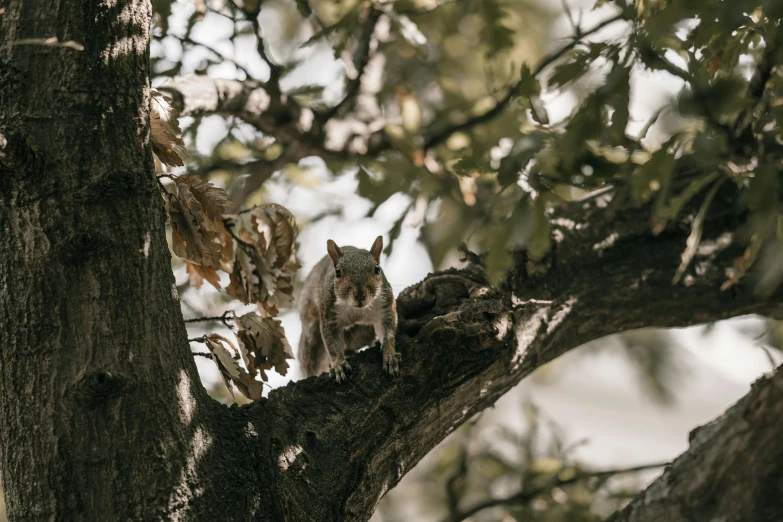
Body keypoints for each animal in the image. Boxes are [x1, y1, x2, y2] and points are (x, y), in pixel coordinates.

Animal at [298, 234, 402, 380]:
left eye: (377, 269)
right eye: (337, 272)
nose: (359, 295)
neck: (356, 309)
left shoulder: (385, 306)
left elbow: (388, 331)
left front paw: (390, 355)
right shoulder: (329, 312)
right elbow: (332, 342)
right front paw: (338, 365)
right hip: (311, 339)